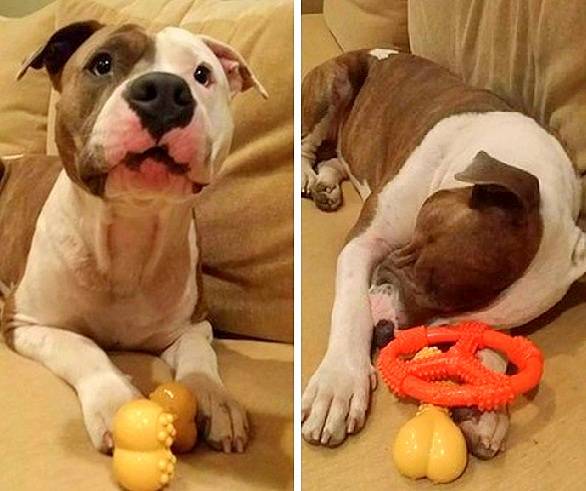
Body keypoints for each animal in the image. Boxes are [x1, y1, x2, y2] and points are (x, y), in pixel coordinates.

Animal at [0, 21, 264, 456]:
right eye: (102, 63)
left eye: (202, 74)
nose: (165, 92)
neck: (130, 229)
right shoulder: (26, 324)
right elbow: (84, 348)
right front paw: (115, 401)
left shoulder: (194, 325)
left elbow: (200, 358)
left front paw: (215, 397)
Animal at [302, 49, 584, 458]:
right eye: (426, 275)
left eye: (479, 326)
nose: (384, 333)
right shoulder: (365, 241)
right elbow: (351, 308)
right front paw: (338, 383)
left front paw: (486, 407)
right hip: (333, 84)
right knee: (306, 146)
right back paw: (308, 177)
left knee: (335, 159)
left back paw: (326, 184)